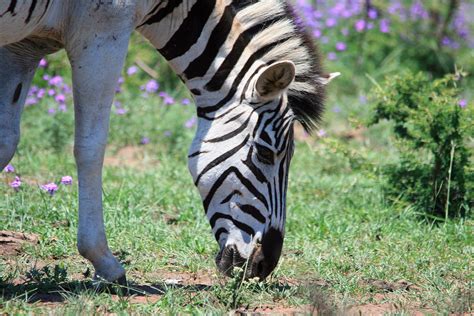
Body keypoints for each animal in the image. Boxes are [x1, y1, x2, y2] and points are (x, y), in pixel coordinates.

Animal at [1, 0, 338, 282]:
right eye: (266, 155)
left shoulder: (25, 45)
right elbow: (90, 146)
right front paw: (104, 262)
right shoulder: (102, 32)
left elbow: (7, 140)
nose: (265, 266)